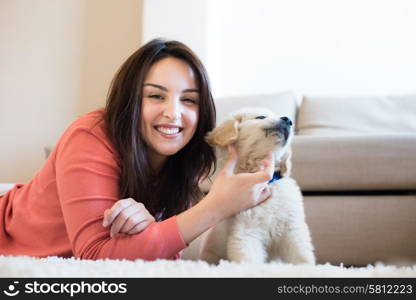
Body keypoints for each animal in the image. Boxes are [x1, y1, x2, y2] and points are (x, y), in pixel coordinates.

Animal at [198, 108, 316, 264]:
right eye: (261, 117)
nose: (288, 120)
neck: (265, 183)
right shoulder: (246, 231)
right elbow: (249, 260)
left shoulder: (292, 228)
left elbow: (302, 256)